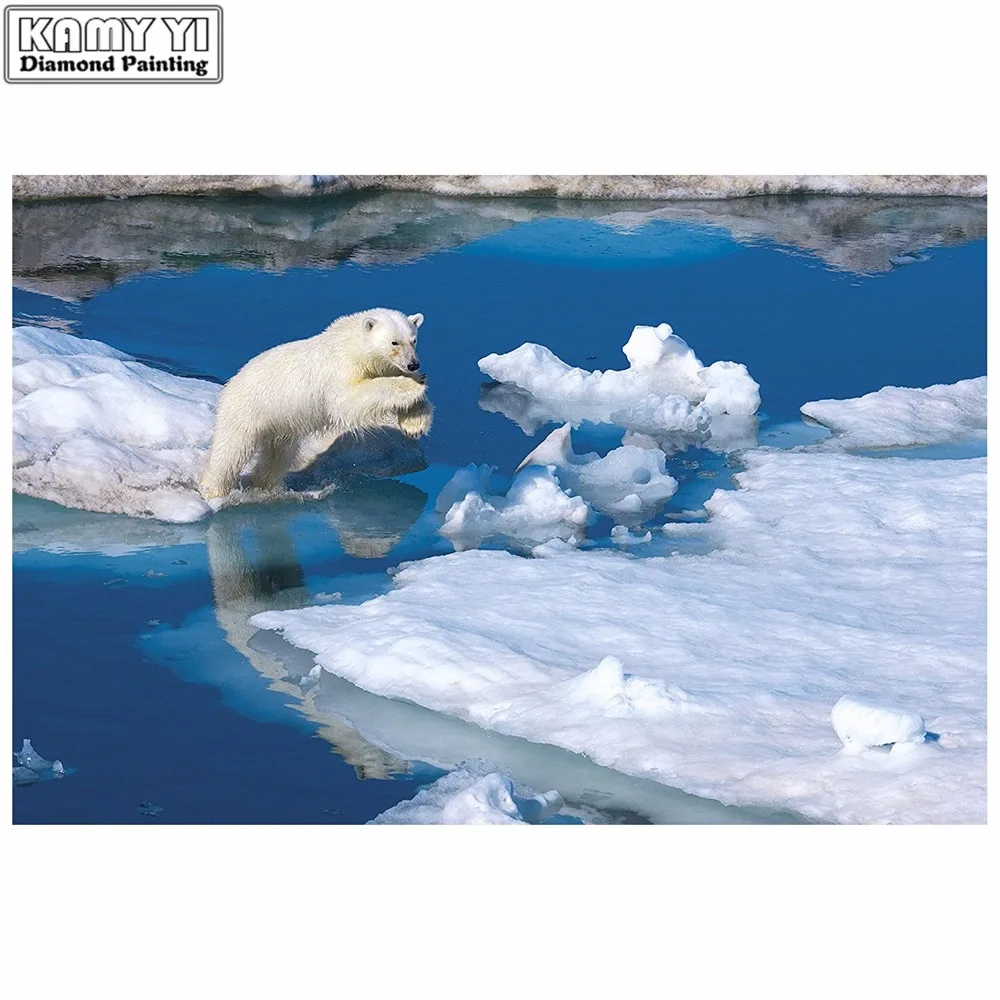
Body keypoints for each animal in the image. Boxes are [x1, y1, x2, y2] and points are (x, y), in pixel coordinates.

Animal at [198, 308, 433, 500]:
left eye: (413, 340)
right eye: (394, 342)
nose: (413, 364)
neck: (351, 344)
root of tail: (230, 383)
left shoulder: (383, 366)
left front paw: (414, 425)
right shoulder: (340, 368)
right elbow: (349, 400)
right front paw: (414, 383)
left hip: (280, 423)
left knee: (278, 454)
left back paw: (266, 485)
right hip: (246, 409)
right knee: (230, 450)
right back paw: (213, 490)